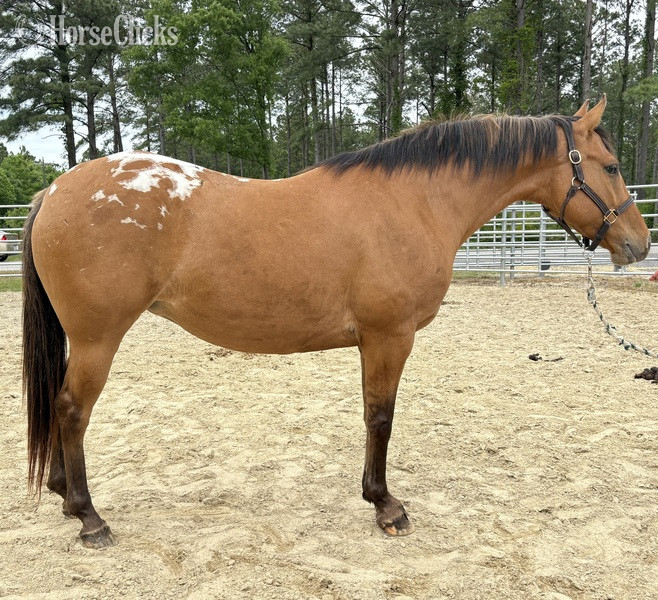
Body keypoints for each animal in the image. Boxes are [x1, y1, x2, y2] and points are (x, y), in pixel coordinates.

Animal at [22, 96, 650, 548]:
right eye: (612, 166)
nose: (639, 245)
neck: (414, 202)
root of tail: (54, 189)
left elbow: (375, 416)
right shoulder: (388, 337)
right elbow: (381, 418)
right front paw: (386, 506)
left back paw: (63, 493)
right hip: (97, 338)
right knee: (71, 410)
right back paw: (88, 516)